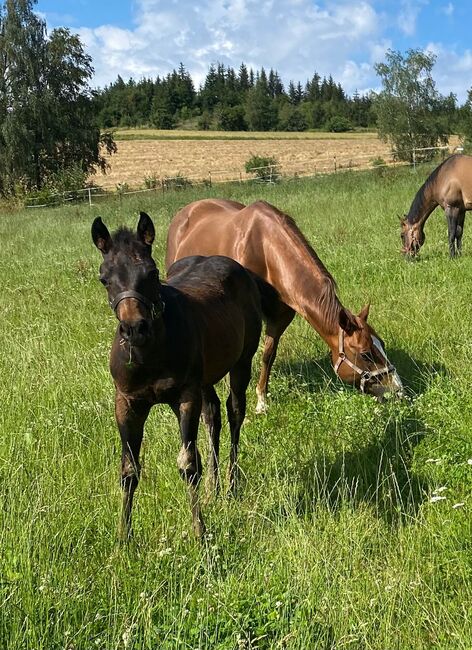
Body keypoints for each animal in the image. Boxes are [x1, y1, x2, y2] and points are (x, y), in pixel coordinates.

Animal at [92, 211, 262, 536]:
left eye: (152, 272)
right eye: (104, 278)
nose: (134, 329)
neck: (150, 353)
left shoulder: (185, 395)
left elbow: (188, 464)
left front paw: (199, 531)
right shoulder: (127, 402)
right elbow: (128, 470)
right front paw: (123, 537)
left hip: (240, 362)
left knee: (235, 412)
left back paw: (231, 486)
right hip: (206, 377)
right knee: (213, 415)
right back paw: (212, 489)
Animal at [166, 196, 402, 410]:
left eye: (382, 344)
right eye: (366, 354)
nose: (397, 390)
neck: (265, 250)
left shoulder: (280, 317)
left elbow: (268, 355)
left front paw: (262, 400)